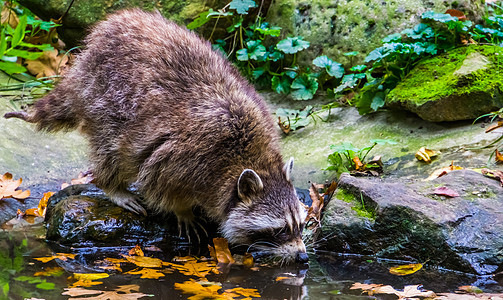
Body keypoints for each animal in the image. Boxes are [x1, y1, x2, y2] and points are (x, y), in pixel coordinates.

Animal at [5, 8, 310, 262]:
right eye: (280, 230)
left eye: (300, 225)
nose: (303, 257)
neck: (251, 158)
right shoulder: (186, 156)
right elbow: (161, 182)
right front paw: (182, 209)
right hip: (104, 97)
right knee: (111, 147)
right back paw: (112, 185)